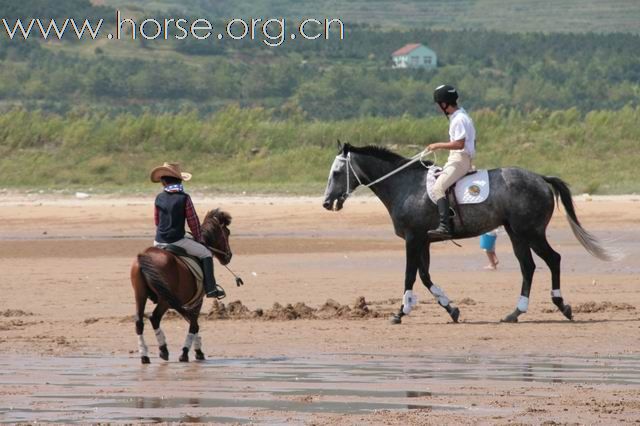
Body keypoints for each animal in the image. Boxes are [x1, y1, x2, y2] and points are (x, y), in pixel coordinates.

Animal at [130, 208, 232, 364]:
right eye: (227, 233)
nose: (229, 256)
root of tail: (144, 256)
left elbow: (191, 322)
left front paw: (194, 351)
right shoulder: (197, 300)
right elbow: (194, 324)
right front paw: (190, 352)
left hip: (140, 295)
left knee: (139, 322)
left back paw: (145, 355)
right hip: (165, 299)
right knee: (154, 318)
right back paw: (163, 350)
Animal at [322, 142, 612, 322]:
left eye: (336, 172)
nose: (326, 203)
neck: (405, 186)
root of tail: (541, 178)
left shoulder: (413, 240)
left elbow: (410, 276)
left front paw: (400, 313)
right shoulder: (423, 241)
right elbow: (425, 277)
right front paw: (451, 309)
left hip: (531, 232)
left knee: (553, 259)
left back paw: (562, 306)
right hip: (517, 234)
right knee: (528, 267)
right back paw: (515, 313)